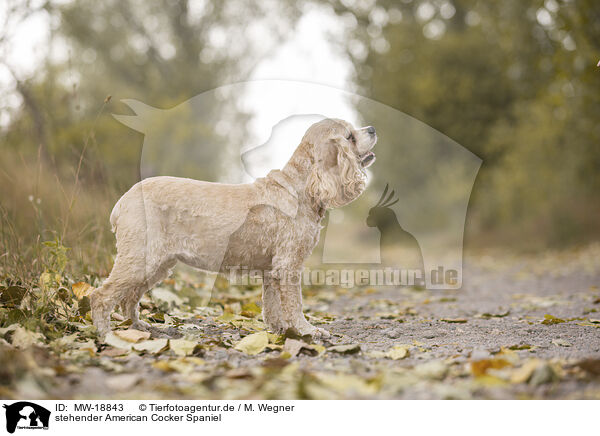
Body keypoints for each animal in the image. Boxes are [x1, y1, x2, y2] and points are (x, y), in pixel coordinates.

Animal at [90, 119, 376, 340]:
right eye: (350, 136)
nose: (372, 128)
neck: (302, 187)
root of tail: (121, 202)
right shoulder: (288, 264)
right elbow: (294, 304)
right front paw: (307, 330)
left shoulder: (272, 269)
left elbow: (272, 305)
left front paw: (279, 330)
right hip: (141, 257)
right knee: (101, 296)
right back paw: (108, 336)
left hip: (157, 263)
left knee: (129, 297)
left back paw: (139, 328)